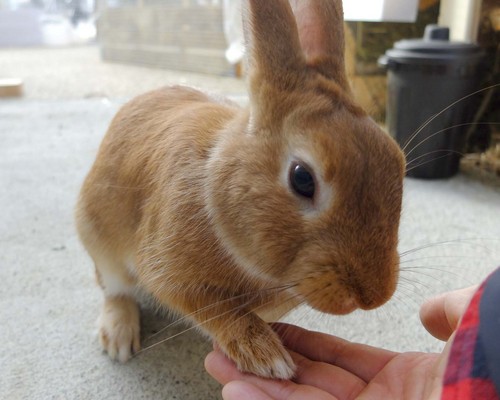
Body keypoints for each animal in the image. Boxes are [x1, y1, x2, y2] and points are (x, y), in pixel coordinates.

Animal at [75, 0, 406, 380]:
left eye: (397, 160)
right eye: (302, 179)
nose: (373, 296)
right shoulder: (166, 269)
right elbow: (214, 310)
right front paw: (265, 356)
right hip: (100, 244)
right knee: (114, 290)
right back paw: (119, 339)